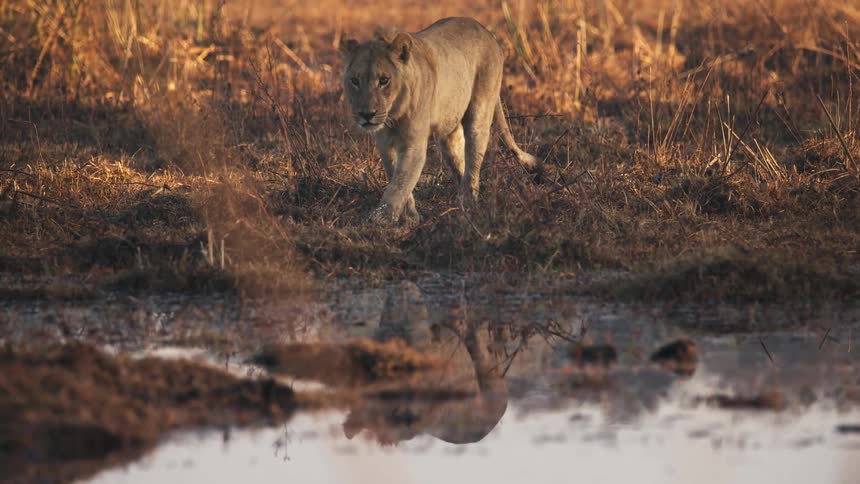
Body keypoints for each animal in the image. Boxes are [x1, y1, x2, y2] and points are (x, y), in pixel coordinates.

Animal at [340, 17, 540, 226]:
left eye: (384, 80)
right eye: (354, 81)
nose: (366, 114)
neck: (393, 116)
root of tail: (486, 31)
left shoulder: (413, 146)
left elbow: (399, 183)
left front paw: (382, 218)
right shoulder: (385, 145)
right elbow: (397, 178)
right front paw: (410, 216)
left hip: (480, 112)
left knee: (473, 163)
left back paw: (468, 204)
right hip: (449, 133)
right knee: (460, 164)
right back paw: (460, 200)